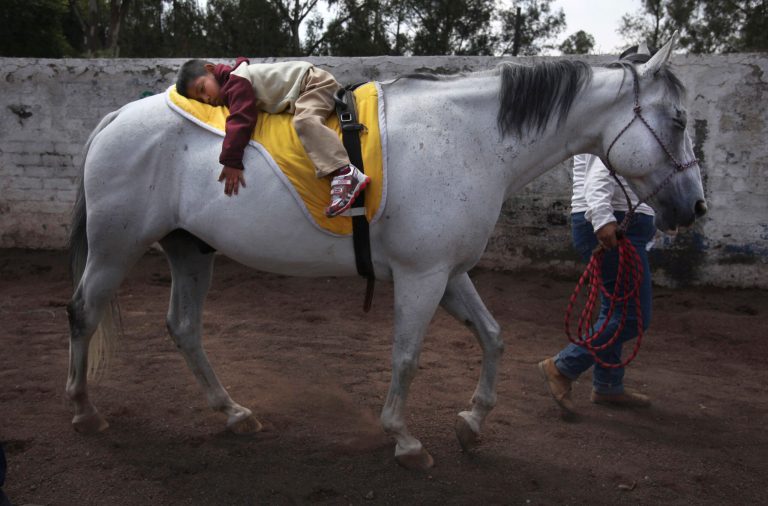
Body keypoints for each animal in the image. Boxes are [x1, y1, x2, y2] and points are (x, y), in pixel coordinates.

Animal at [66, 34, 706, 470]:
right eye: (677, 121)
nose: (694, 207)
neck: (468, 138)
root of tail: (115, 117)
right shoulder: (422, 277)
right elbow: (406, 357)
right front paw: (404, 438)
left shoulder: (449, 272)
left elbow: (493, 336)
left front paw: (472, 423)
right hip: (115, 247)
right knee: (83, 314)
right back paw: (84, 411)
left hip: (191, 251)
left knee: (184, 329)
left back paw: (234, 413)